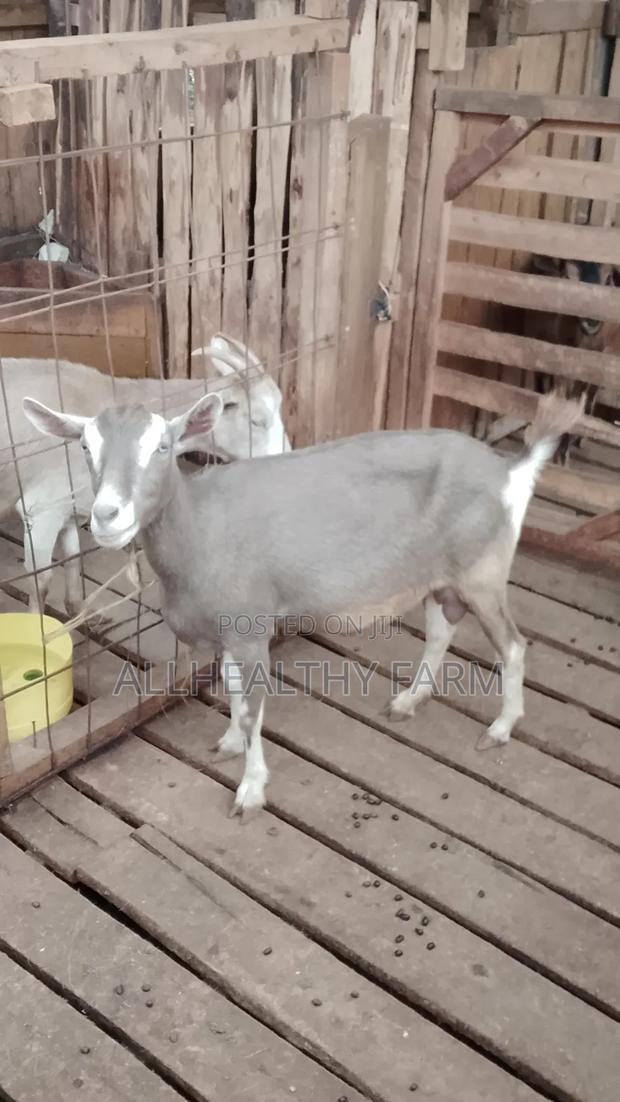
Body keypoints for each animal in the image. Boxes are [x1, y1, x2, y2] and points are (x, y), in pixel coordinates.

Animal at [0, 334, 289, 617]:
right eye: (257, 421)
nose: (287, 456)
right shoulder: (41, 508)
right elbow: (40, 581)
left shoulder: (70, 508)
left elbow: (72, 561)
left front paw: (79, 613)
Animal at [24, 387, 582, 821]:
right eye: (85, 446)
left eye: (163, 446)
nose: (106, 516)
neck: (201, 526)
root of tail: (511, 469)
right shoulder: (230, 630)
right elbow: (232, 690)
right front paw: (229, 742)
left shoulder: (250, 626)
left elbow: (254, 708)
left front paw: (250, 790)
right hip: (439, 573)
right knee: (444, 627)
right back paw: (410, 700)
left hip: (482, 571)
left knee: (512, 645)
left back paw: (501, 728)